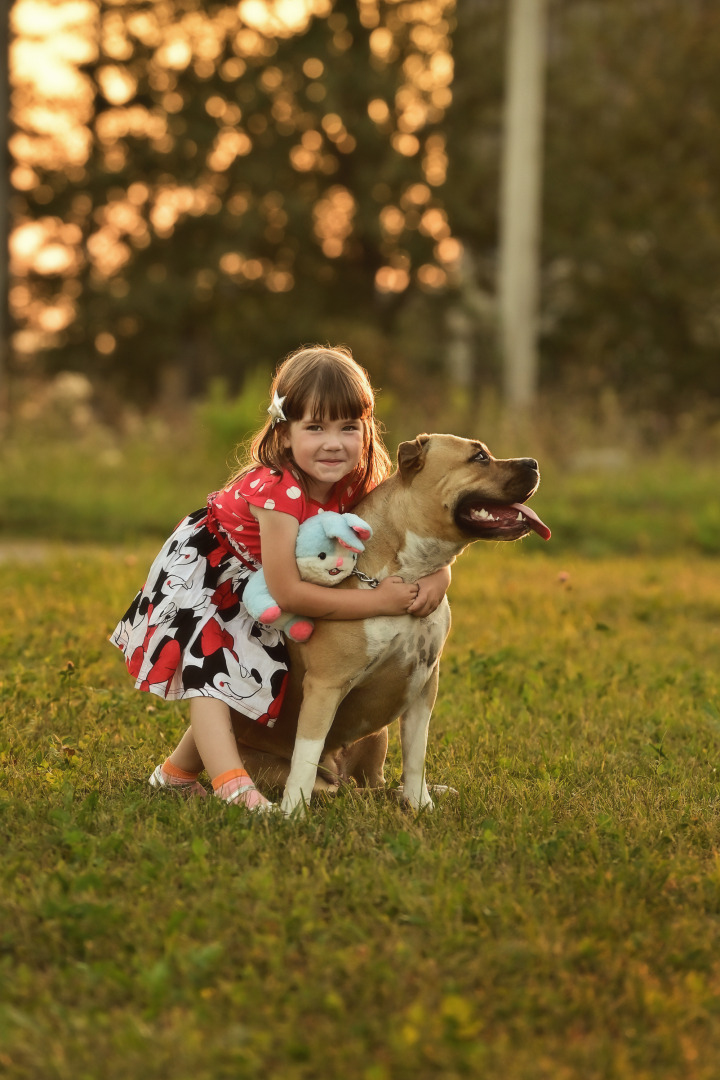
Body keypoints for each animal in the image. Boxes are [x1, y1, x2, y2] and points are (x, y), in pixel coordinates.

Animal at [227, 434, 548, 812]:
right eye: (479, 457)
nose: (533, 463)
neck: (411, 570)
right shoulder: (325, 686)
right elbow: (305, 758)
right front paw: (292, 813)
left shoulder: (424, 684)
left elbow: (415, 754)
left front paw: (421, 804)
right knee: (331, 785)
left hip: (376, 738)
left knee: (372, 785)